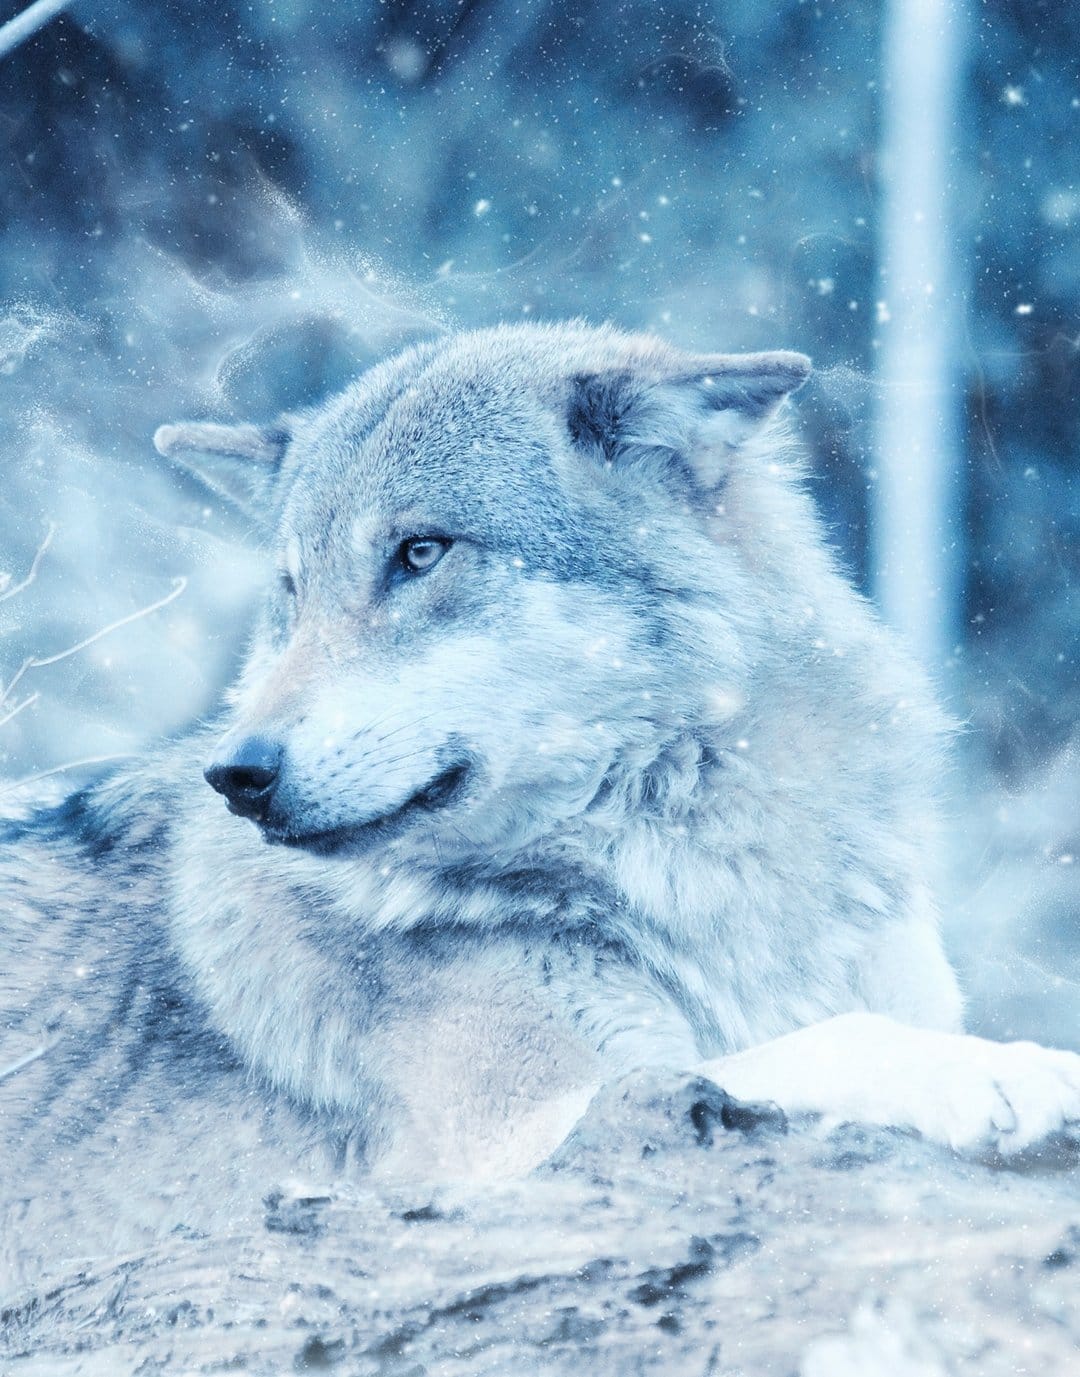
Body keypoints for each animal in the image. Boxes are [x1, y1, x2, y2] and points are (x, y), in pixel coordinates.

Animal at [3, 321, 1079, 1195]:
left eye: (420, 553)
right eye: (292, 592)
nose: (237, 775)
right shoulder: (512, 1135)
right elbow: (829, 1039)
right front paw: (1011, 1070)